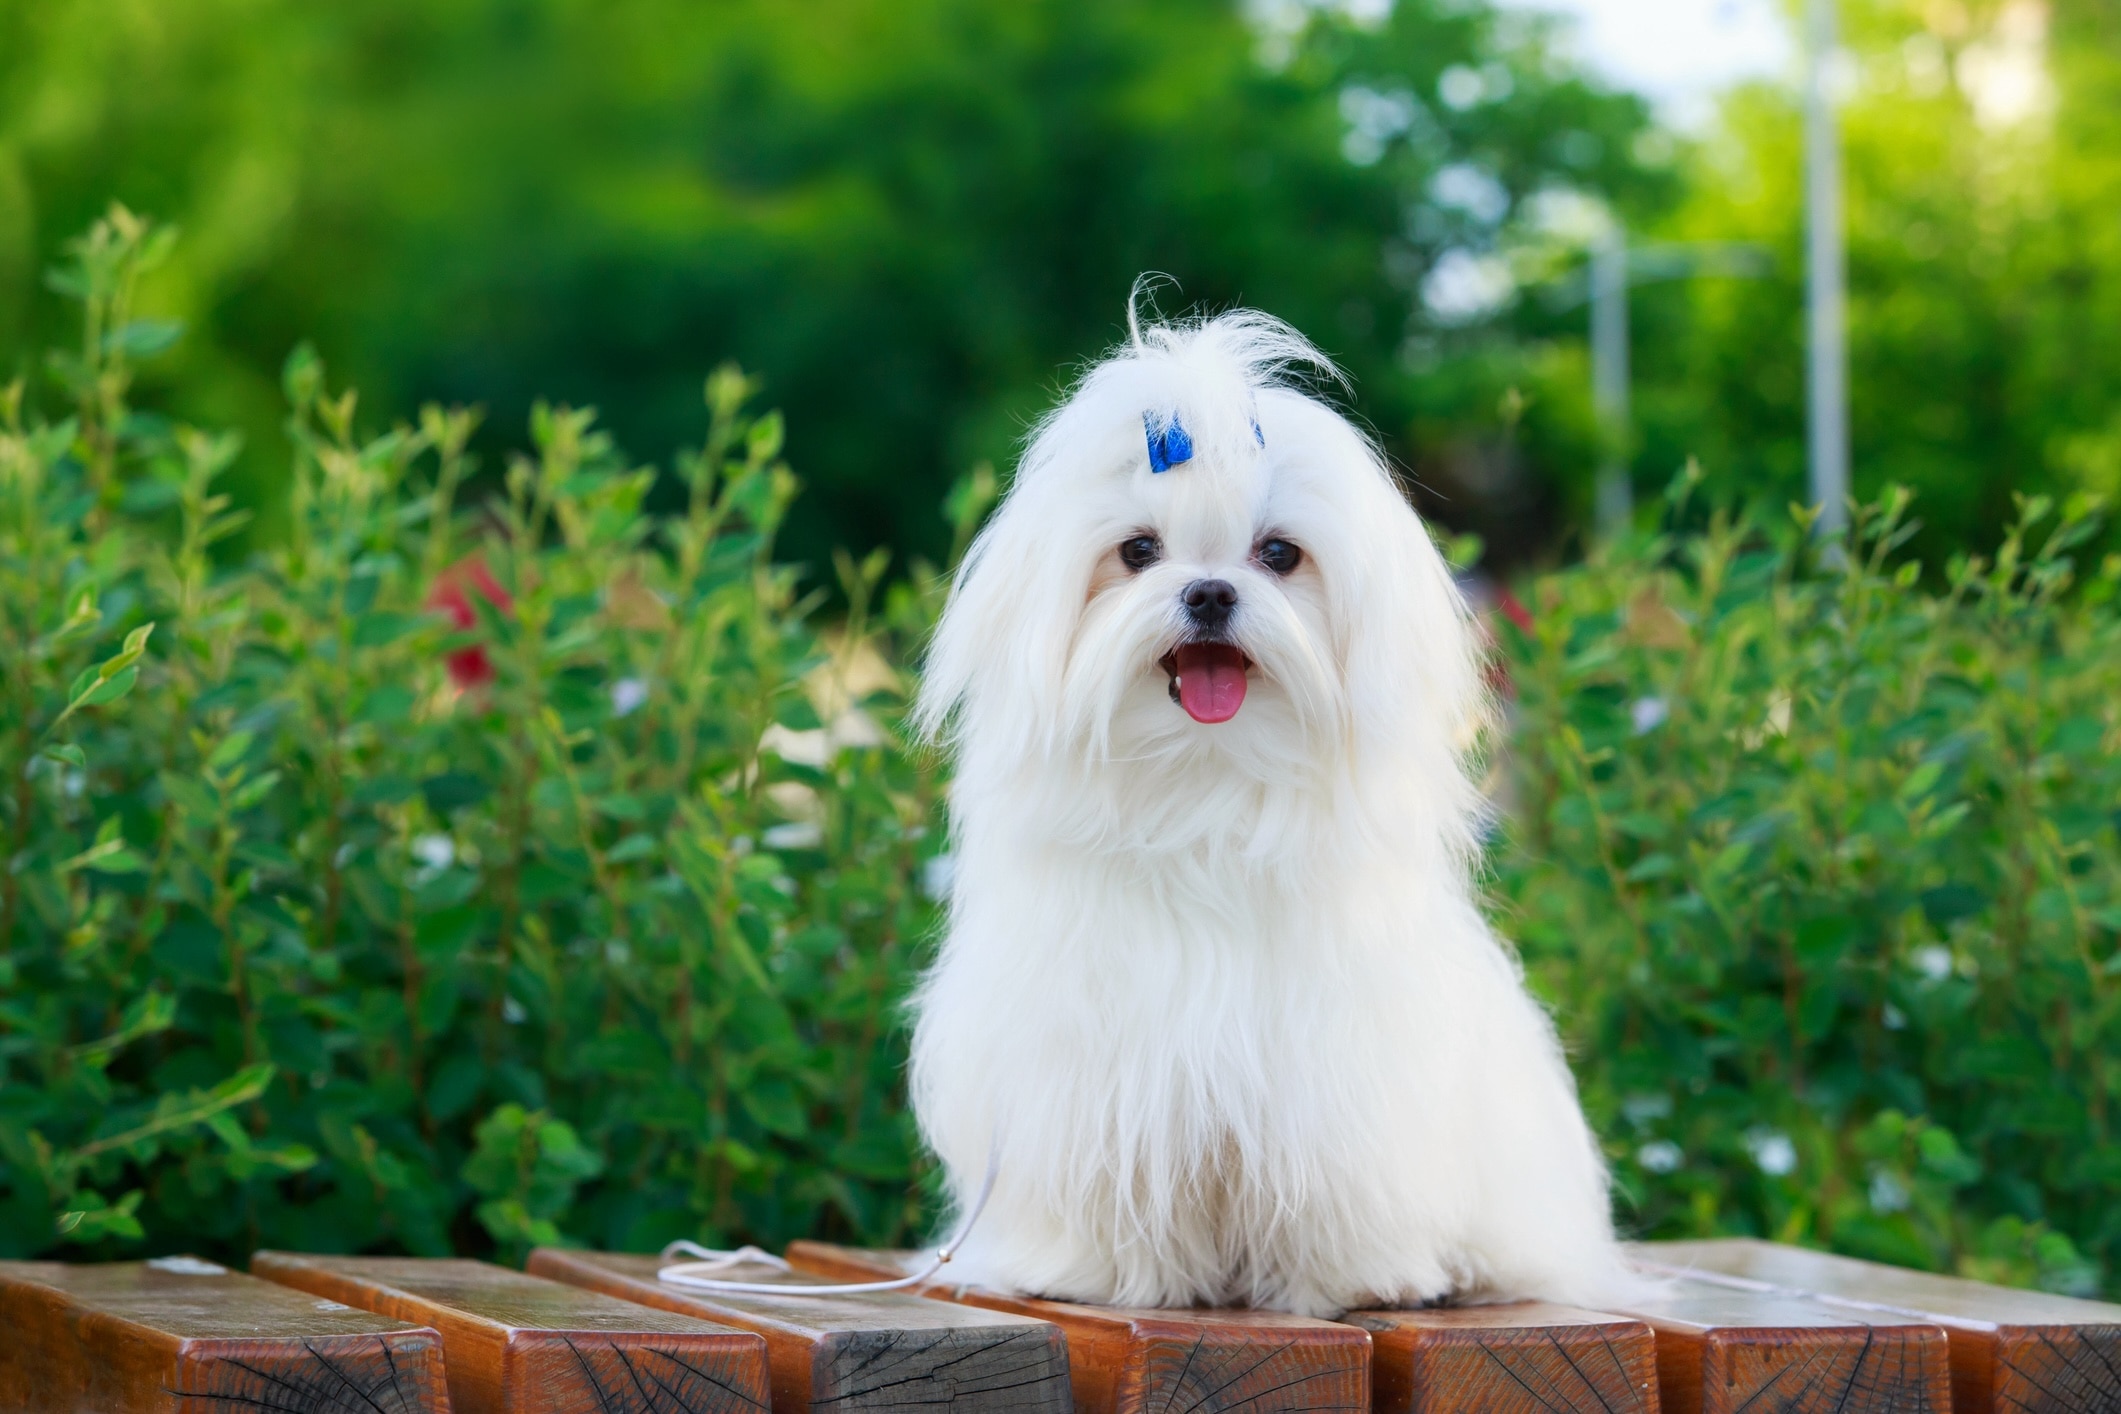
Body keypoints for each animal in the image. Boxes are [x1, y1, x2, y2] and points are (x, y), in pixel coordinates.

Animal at [907, 305, 1620, 1322]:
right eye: (1137, 551)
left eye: (1278, 554)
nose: (1209, 591)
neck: (1206, 789)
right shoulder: (1089, 1071)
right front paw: (1093, 1272)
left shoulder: (1335, 1078)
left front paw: (1355, 1278)